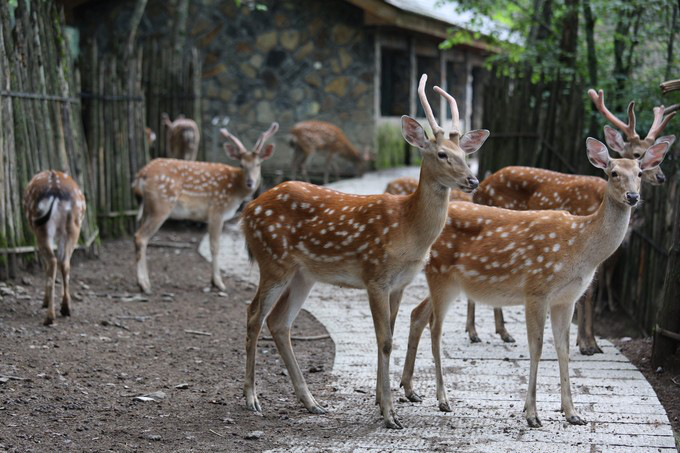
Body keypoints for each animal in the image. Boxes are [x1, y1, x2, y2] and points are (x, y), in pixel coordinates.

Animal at [23, 170, 85, 324]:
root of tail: (55, 190)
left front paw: (44, 302)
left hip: (41, 228)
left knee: (51, 261)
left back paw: (49, 316)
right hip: (73, 227)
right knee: (64, 262)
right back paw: (65, 308)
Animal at [131, 122, 278, 294]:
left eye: (258, 164)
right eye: (241, 165)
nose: (250, 183)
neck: (235, 192)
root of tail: (141, 175)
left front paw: (214, 281)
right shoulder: (217, 210)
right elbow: (215, 246)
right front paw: (218, 283)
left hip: (147, 208)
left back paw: (143, 282)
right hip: (161, 206)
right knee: (141, 237)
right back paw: (144, 285)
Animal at [242, 74, 492, 428]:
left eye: (465, 154)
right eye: (442, 154)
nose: (472, 180)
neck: (408, 229)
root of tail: (248, 210)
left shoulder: (400, 282)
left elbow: (390, 334)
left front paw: (379, 400)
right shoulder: (375, 275)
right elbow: (384, 340)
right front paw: (389, 414)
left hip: (304, 274)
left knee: (279, 322)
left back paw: (311, 402)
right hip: (272, 258)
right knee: (254, 315)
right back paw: (252, 399)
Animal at [398, 138, 668, 428]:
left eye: (639, 173)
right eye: (614, 172)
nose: (633, 197)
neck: (580, 247)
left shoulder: (567, 298)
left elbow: (563, 348)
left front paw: (573, 413)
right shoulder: (537, 289)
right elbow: (536, 348)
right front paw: (532, 414)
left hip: (450, 282)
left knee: (417, 314)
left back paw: (410, 389)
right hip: (441, 274)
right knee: (435, 327)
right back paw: (442, 399)